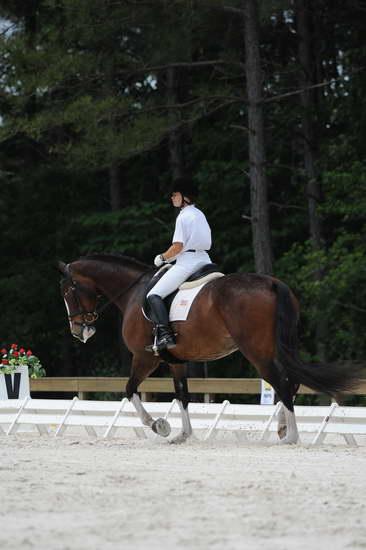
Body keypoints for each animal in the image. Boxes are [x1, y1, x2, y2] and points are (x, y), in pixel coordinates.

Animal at [57, 256, 360, 446]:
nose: (79, 332)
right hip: (278, 347)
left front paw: (159, 426)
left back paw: (291, 437)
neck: (134, 292)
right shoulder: (176, 360)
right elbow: (182, 395)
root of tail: (272, 283)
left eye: (68, 292)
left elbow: (130, 389)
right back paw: (283, 429)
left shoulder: (145, 358)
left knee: (283, 385)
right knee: (292, 382)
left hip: (257, 352)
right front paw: (183, 434)